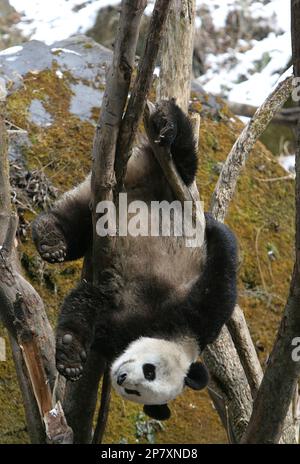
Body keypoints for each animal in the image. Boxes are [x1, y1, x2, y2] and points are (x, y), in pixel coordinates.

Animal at [30, 99, 237, 422]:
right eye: (149, 370)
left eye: (139, 389)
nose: (123, 377)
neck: (165, 330)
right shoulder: (195, 310)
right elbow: (222, 278)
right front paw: (71, 357)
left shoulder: (118, 328)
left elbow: (90, 303)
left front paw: (71, 355)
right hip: (157, 180)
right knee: (183, 160)